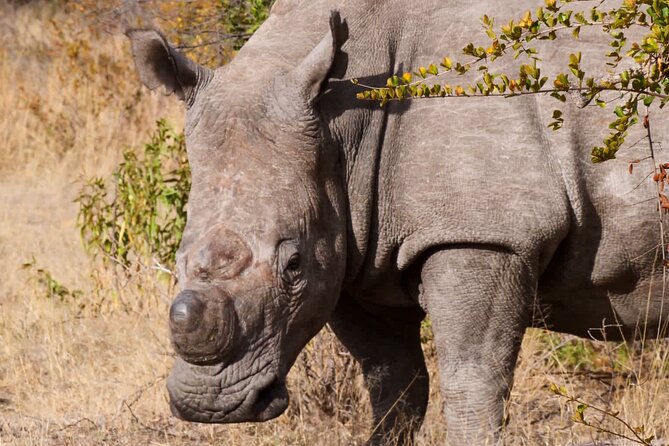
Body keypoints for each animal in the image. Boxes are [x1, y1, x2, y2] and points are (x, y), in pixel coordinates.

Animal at [128, 1, 664, 444]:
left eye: (294, 264)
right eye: (177, 259)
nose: (210, 405)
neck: (341, 124)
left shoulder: (485, 233)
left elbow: (473, 381)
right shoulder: (352, 250)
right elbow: (395, 385)